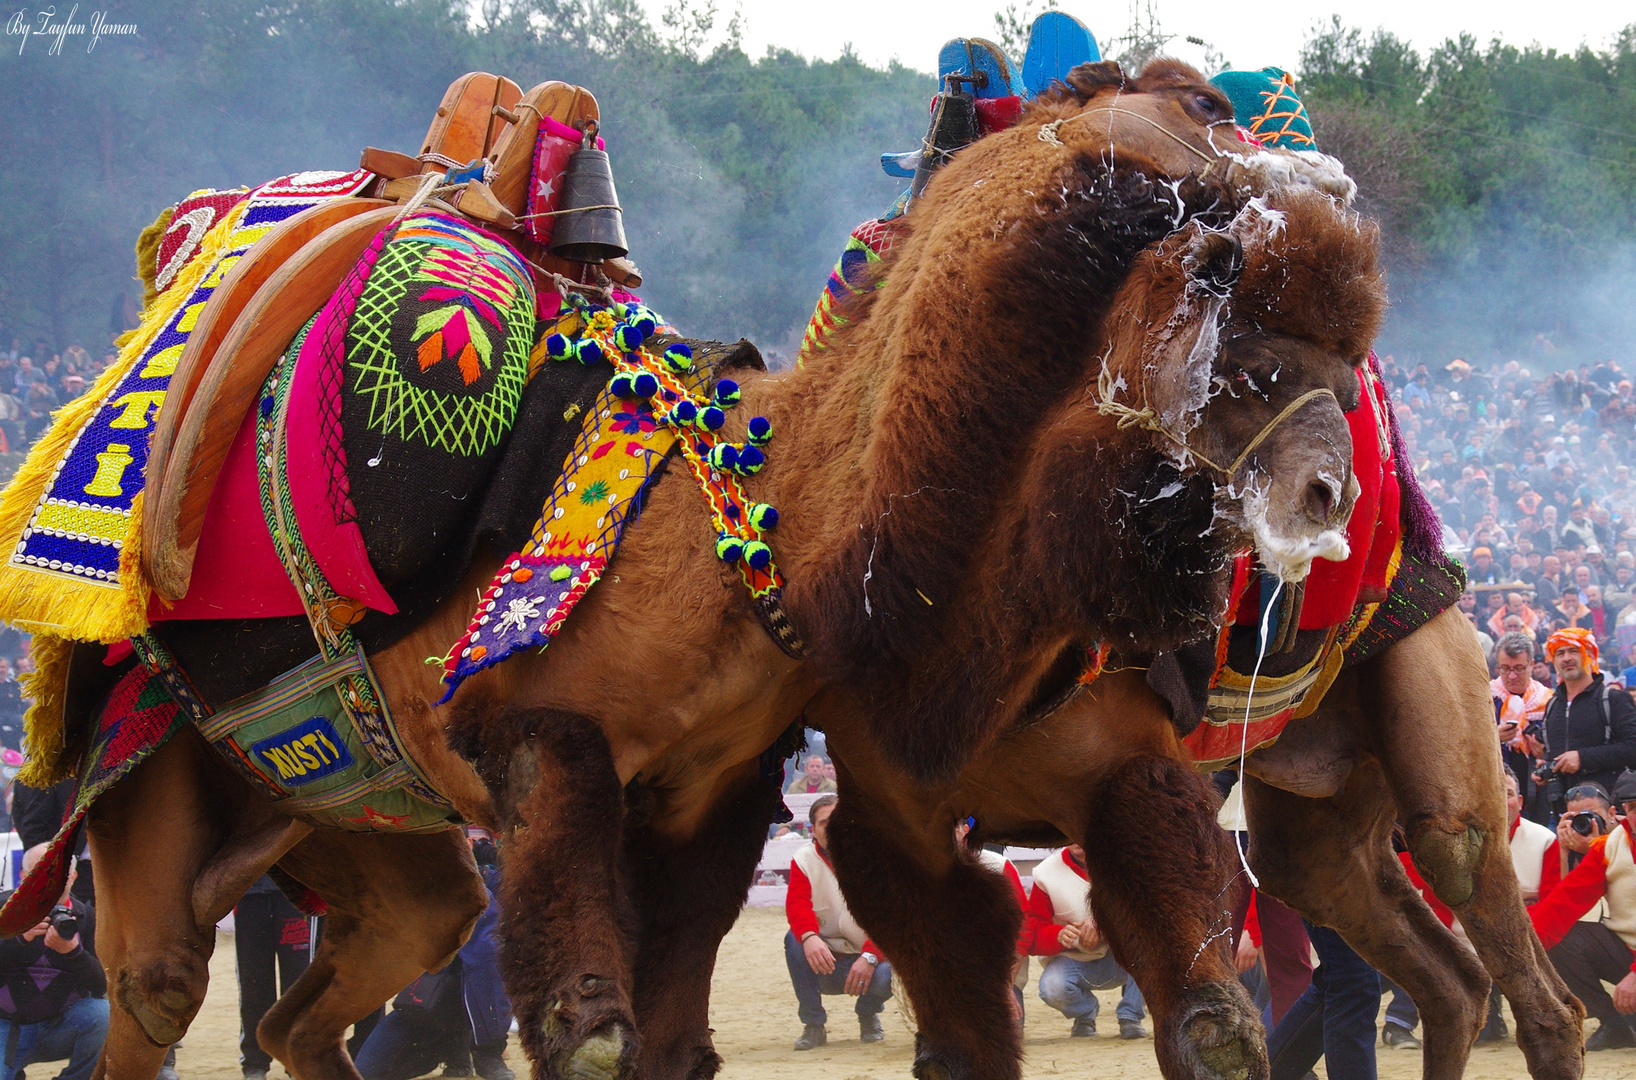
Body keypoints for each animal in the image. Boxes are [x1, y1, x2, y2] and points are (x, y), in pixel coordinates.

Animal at [76, 56, 1361, 1080]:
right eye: (1206, 103)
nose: (1335, 185)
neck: (754, 528)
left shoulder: (710, 793)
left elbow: (1208, 1023)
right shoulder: (540, 741)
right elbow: (596, 1037)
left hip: (366, 838)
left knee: (326, 994)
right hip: (154, 776)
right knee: (159, 985)